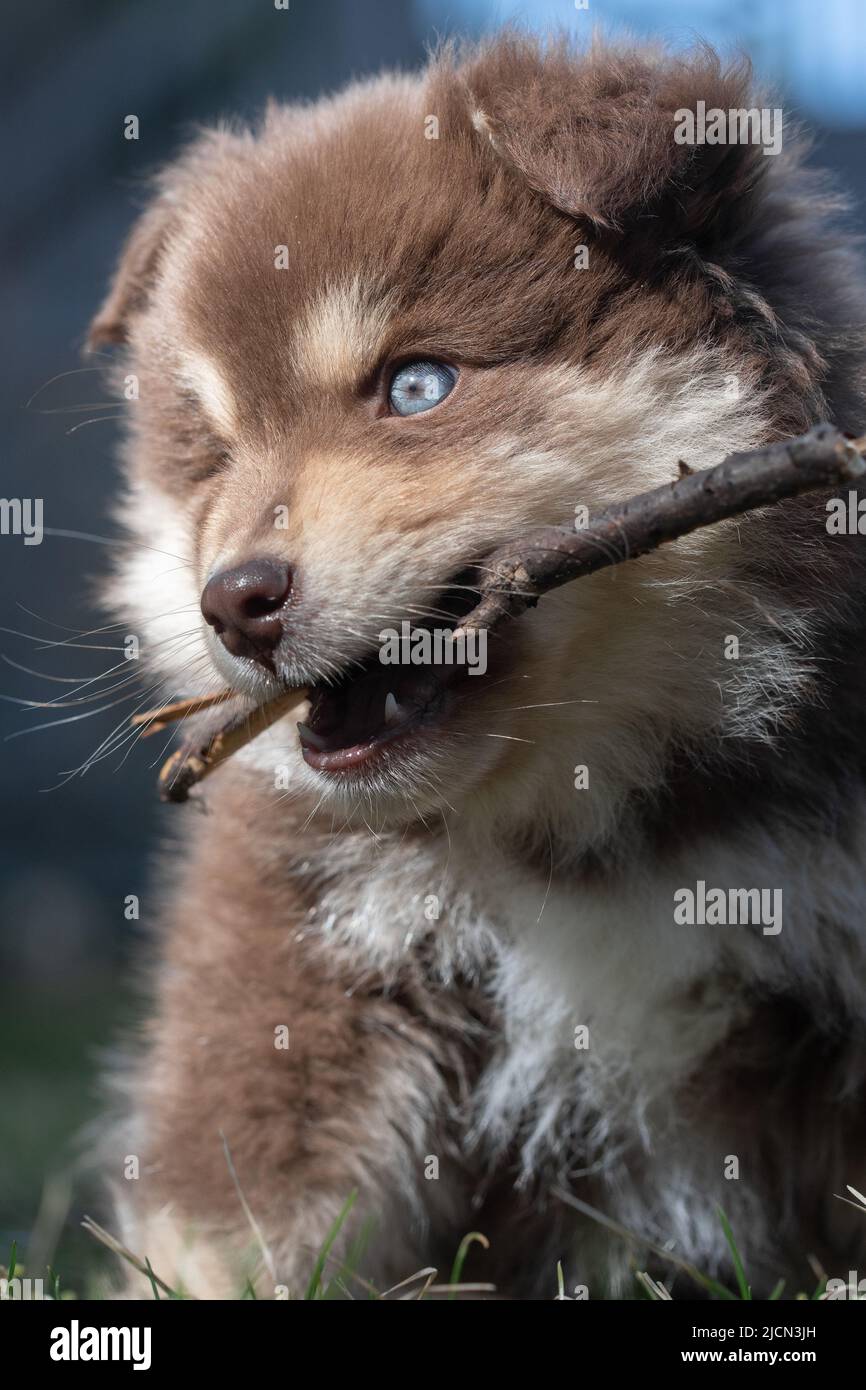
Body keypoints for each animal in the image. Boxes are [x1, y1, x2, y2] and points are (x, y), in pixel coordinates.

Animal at [89, 29, 866, 1289]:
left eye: (416, 387)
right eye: (213, 458)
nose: (234, 600)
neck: (577, 825)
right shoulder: (295, 945)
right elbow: (246, 1200)